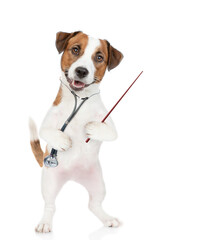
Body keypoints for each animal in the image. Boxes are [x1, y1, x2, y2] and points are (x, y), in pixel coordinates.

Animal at [28, 31, 123, 233]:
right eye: (76, 49)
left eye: (99, 57)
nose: (81, 71)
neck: (79, 98)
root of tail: (73, 176)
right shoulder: (46, 124)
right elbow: (47, 131)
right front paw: (63, 141)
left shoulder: (110, 125)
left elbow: (110, 132)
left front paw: (91, 127)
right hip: (49, 183)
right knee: (50, 206)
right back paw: (45, 223)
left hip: (98, 185)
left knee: (94, 205)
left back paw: (107, 219)